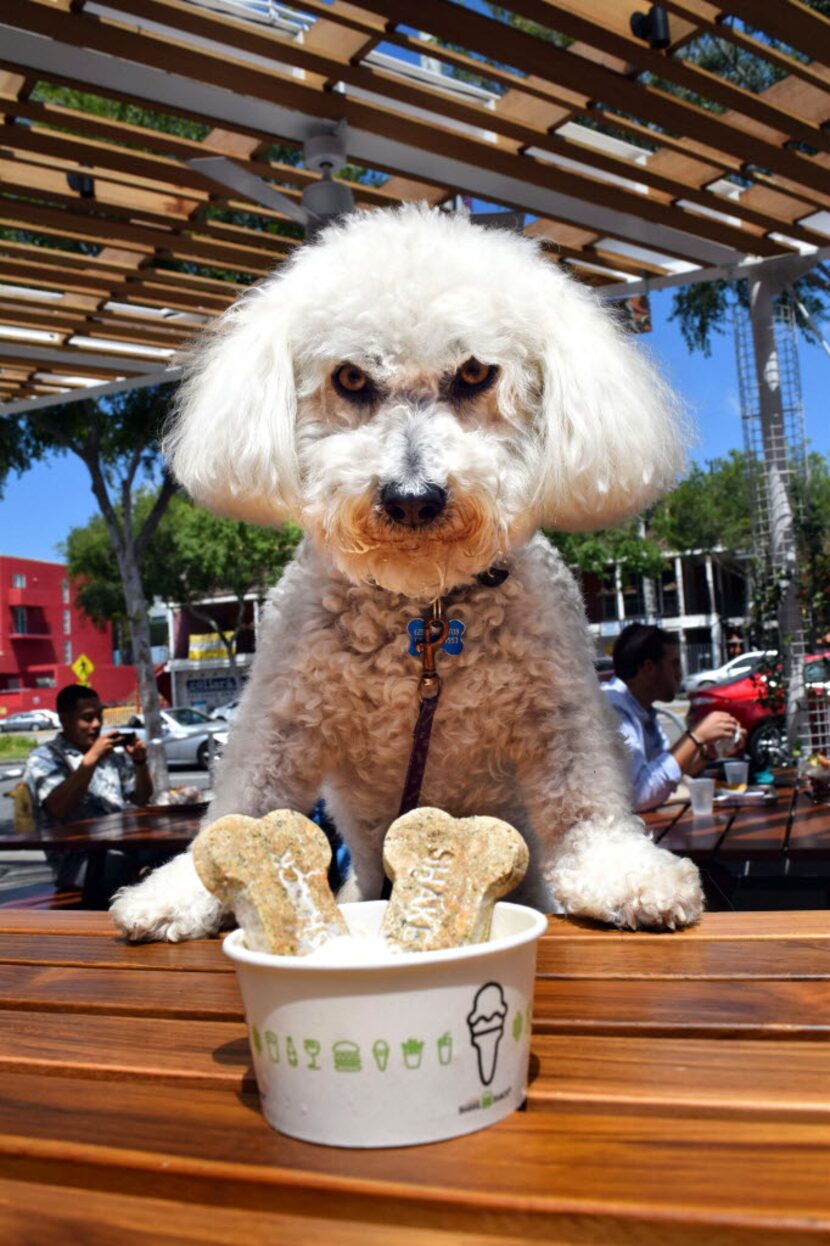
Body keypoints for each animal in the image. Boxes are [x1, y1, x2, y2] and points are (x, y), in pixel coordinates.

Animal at [113, 206, 702, 941]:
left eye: (475, 372)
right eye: (350, 379)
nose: (412, 497)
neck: (424, 612)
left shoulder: (560, 711)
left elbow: (584, 801)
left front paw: (625, 875)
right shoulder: (281, 717)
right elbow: (243, 797)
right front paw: (182, 890)